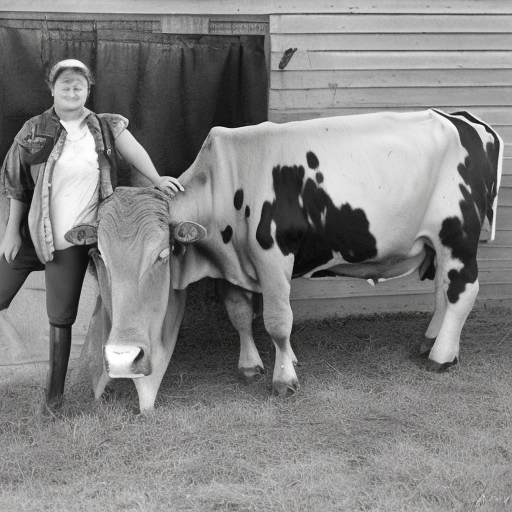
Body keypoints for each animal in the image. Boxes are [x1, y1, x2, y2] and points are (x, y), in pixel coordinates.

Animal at [66, 109, 503, 412]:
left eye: (162, 254)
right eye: (97, 255)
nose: (121, 359)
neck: (226, 182)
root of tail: (464, 119)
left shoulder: (274, 256)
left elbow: (277, 321)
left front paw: (284, 378)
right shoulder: (230, 264)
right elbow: (240, 314)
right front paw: (251, 366)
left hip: (458, 236)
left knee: (463, 291)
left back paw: (441, 357)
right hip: (439, 245)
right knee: (445, 291)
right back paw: (431, 340)